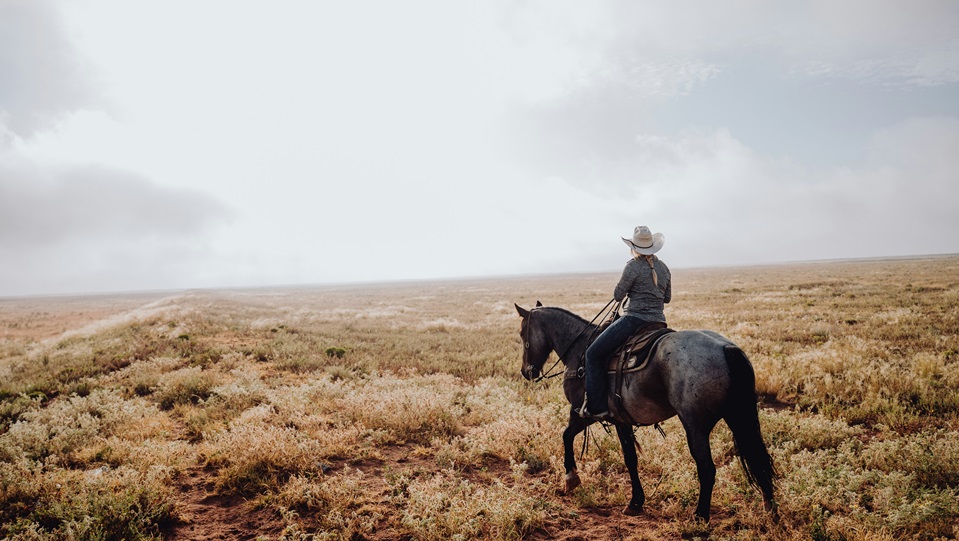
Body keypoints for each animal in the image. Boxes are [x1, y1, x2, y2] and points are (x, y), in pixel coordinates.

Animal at [512, 302, 776, 520]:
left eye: (522, 333)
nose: (527, 372)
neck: (579, 350)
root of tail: (725, 347)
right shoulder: (618, 419)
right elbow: (630, 458)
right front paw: (637, 502)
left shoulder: (583, 411)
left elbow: (570, 437)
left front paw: (571, 479)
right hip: (737, 416)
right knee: (759, 458)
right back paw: (770, 509)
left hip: (696, 427)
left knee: (707, 468)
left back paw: (700, 516)